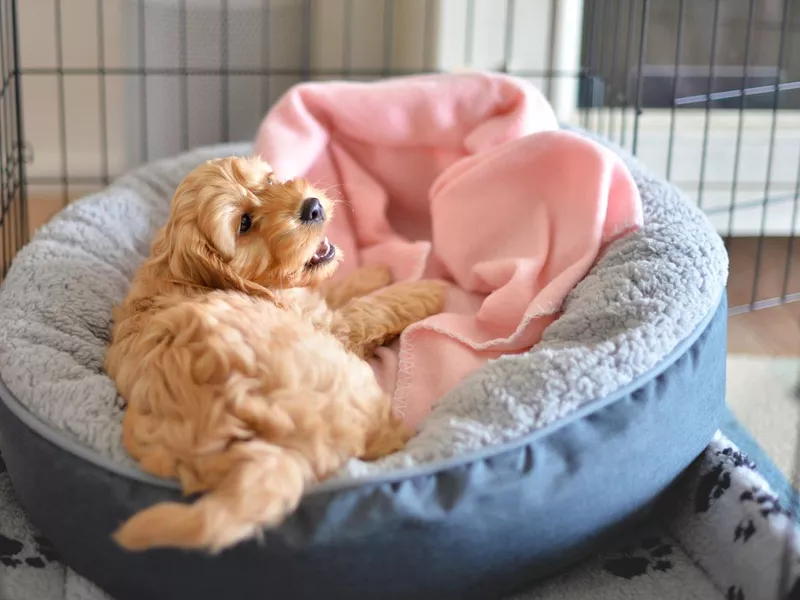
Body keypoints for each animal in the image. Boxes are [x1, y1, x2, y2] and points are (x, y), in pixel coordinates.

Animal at [103, 156, 446, 552]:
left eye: (269, 181)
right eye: (244, 223)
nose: (312, 207)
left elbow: (333, 289)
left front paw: (373, 273)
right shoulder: (330, 327)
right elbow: (372, 308)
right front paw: (427, 289)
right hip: (347, 381)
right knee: (381, 440)